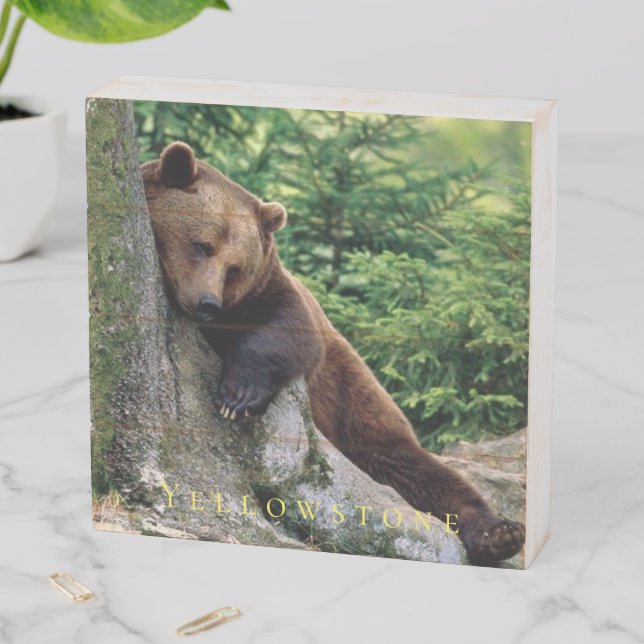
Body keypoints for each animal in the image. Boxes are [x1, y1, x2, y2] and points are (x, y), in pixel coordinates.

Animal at [141, 141, 526, 566]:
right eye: (202, 245)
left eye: (234, 268)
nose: (208, 303)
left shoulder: (268, 293)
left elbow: (290, 332)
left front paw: (238, 397)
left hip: (352, 400)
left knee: (415, 467)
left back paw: (500, 532)